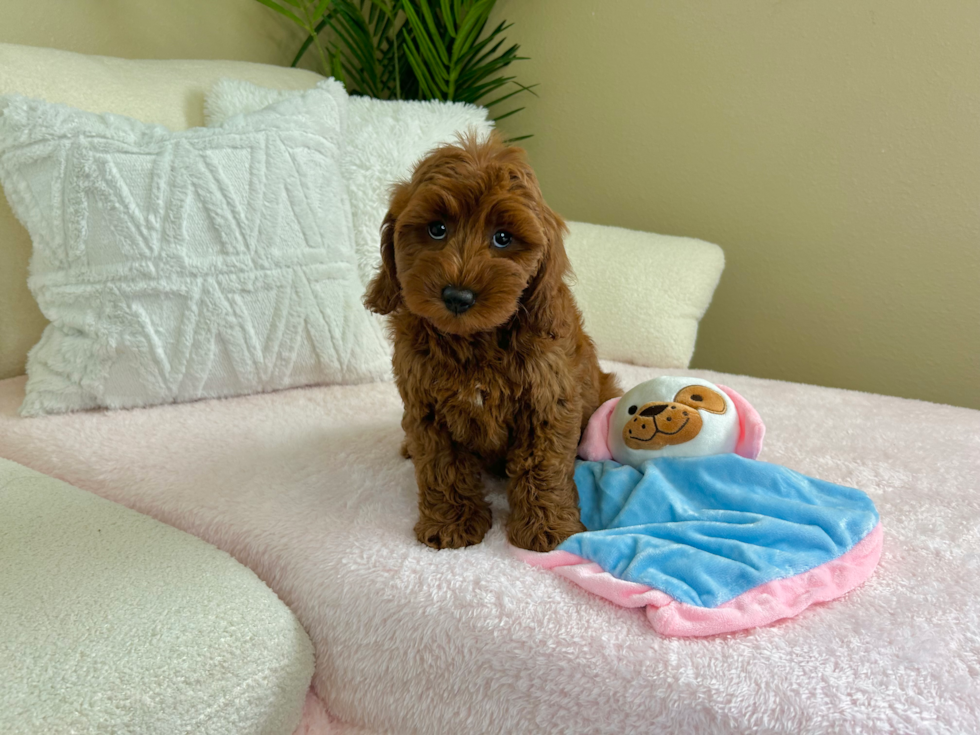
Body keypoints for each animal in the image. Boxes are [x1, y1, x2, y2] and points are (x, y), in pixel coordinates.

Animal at [364, 132, 616, 552]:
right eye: (437, 229)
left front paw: (547, 527)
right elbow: (441, 465)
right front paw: (451, 524)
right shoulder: (426, 407)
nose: (458, 296)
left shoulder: (547, 402)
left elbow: (543, 466)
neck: (475, 340)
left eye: (502, 238)